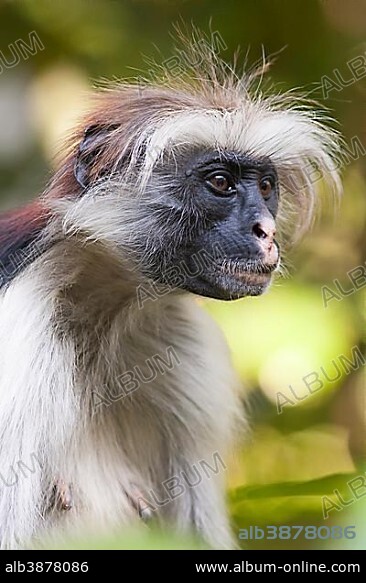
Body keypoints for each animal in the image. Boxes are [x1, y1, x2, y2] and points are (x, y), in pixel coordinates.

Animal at [0, 34, 340, 548]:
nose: (266, 230)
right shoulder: (19, 328)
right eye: (220, 182)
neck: (103, 316)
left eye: (266, 186)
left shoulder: (186, 342)